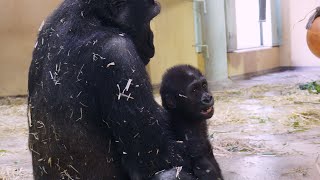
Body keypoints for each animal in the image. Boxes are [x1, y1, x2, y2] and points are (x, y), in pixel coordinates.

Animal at [29, 0, 195, 179]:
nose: (151, 39)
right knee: (168, 172)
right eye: (150, 18)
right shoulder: (119, 54)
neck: (94, 16)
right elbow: (158, 159)